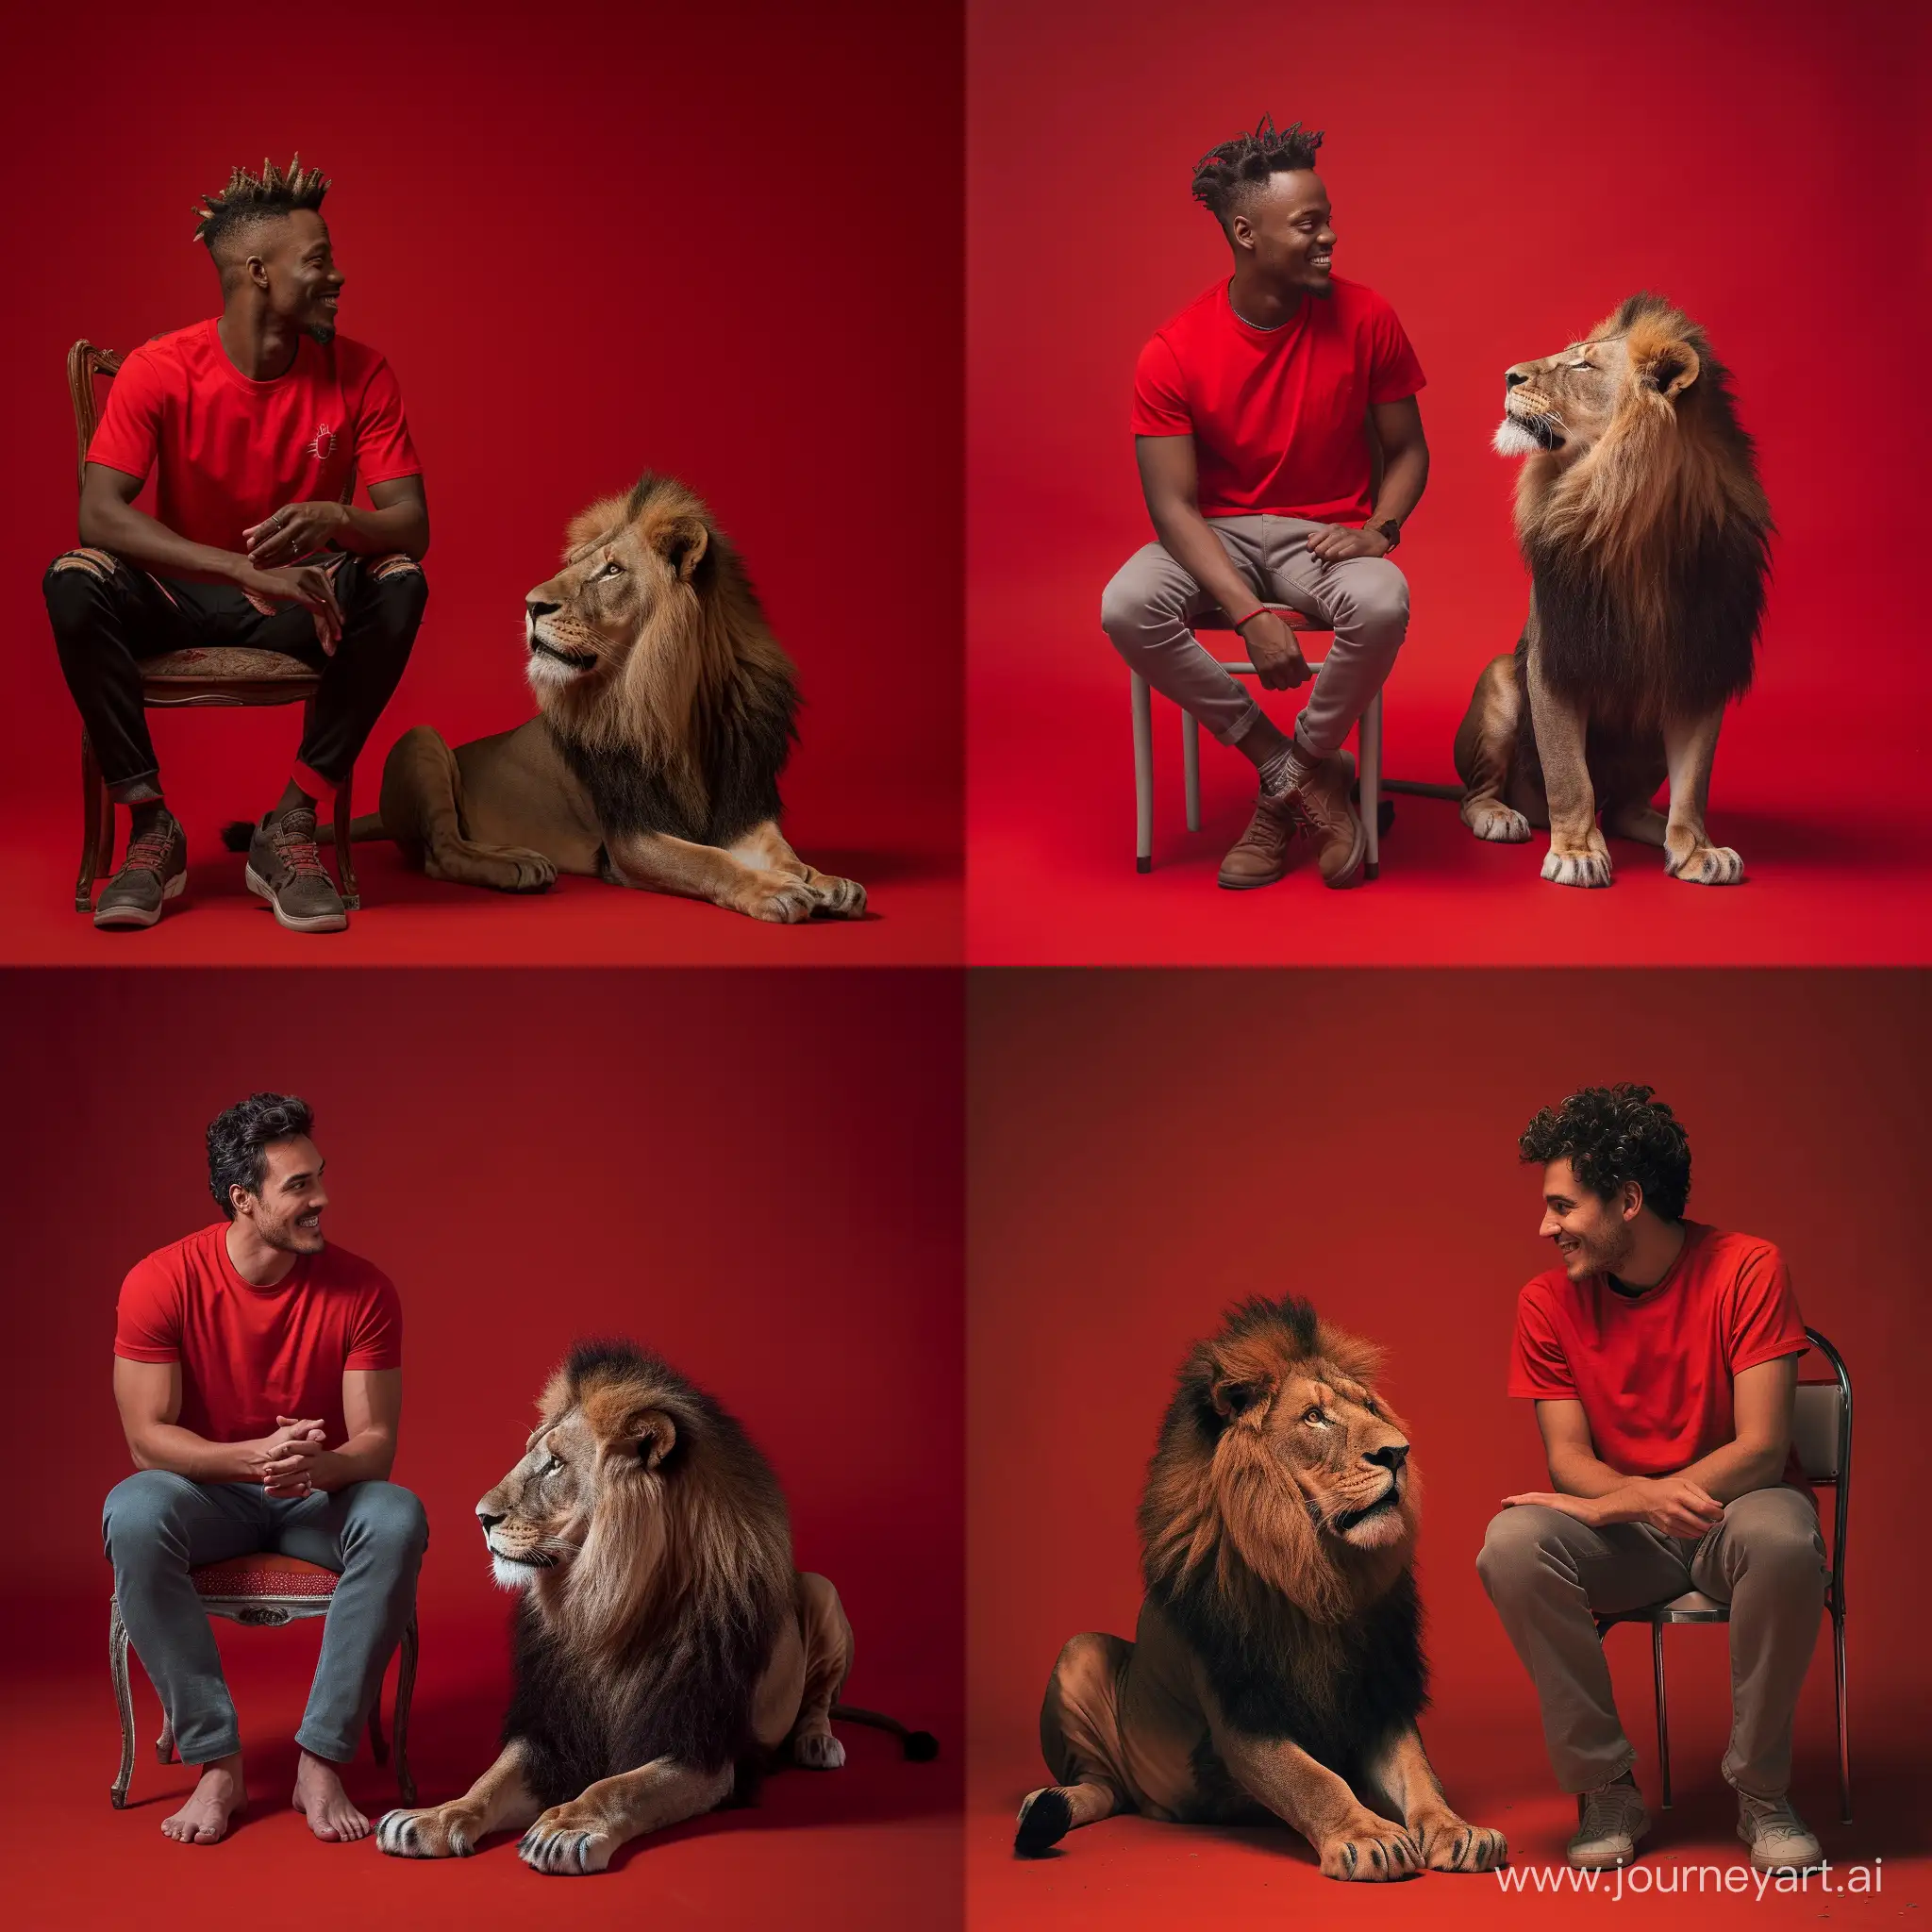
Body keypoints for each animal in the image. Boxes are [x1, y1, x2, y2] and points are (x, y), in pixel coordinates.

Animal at [363, 471, 869, 915]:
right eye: (572, 565)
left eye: (611, 570)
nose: (530, 605)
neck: (681, 707)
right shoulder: (631, 836)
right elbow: (709, 859)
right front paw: (774, 890)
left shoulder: (740, 803)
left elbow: (781, 850)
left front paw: (825, 881)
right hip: (422, 738)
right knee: (442, 852)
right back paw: (516, 863)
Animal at [373, 1344, 931, 1870]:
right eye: (533, 1456)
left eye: (555, 1464)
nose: (479, 1517)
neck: (602, 1610)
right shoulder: (554, 1728)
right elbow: (489, 1780)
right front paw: (431, 1817)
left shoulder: (701, 1750)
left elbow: (620, 1786)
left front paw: (567, 1828)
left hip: (821, 1588)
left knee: (820, 1699)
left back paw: (816, 1742)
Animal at [1020, 1291, 1499, 1877]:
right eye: (1315, 1418)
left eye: (1369, 1408)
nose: (1398, 1452)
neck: (1319, 1576)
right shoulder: (1242, 1707)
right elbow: (1312, 1779)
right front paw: (1367, 1835)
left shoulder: (1379, 1688)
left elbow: (1418, 1772)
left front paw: (1458, 1829)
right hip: (1078, 1650)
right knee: (1100, 1785)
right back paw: (1046, 1808)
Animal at [1453, 295, 1769, 889]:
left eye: (1582, 365)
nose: (1508, 376)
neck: (1626, 509)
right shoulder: (1555, 658)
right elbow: (1569, 775)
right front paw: (1577, 853)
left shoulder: (1703, 664)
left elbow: (1694, 782)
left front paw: (1698, 850)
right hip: (1500, 678)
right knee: (1481, 793)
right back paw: (1500, 816)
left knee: (1621, 808)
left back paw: (1659, 829)